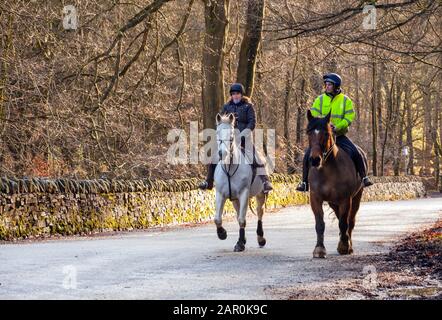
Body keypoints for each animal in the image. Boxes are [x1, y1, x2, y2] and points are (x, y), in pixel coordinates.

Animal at [306, 109, 364, 258]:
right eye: (309, 133)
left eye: (326, 133)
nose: (315, 160)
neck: (327, 170)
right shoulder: (315, 198)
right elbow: (320, 224)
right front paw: (319, 249)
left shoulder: (346, 199)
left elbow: (344, 223)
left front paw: (344, 246)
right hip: (333, 202)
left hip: (356, 198)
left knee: (350, 221)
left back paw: (348, 245)